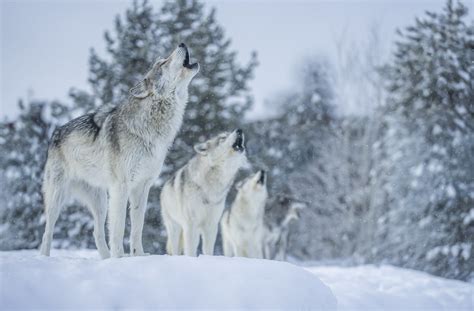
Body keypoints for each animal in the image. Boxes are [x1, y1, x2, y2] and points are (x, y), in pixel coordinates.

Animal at [38, 43, 198, 258]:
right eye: (162, 63)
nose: (182, 44)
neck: (149, 128)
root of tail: (55, 132)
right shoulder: (120, 187)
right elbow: (119, 228)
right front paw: (120, 258)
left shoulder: (142, 187)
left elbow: (137, 227)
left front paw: (138, 256)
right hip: (57, 197)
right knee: (47, 232)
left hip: (100, 202)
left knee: (96, 232)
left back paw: (105, 259)